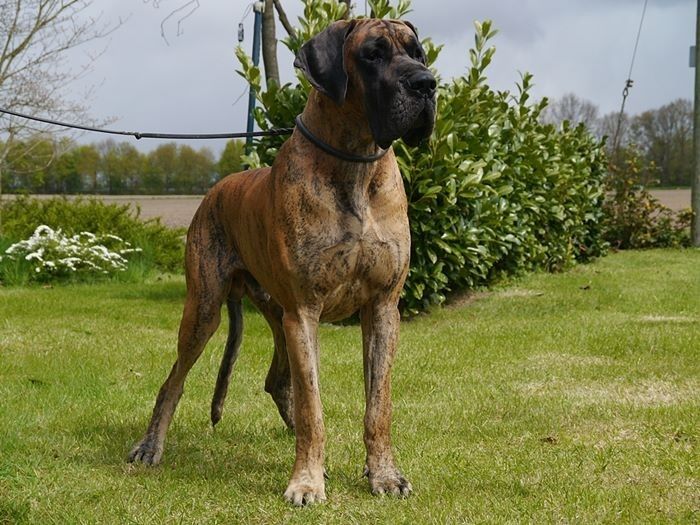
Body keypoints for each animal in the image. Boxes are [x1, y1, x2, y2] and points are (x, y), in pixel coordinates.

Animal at [128, 18, 436, 506]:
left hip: (276, 313)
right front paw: (306, 481)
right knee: (173, 380)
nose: (427, 84)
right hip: (206, 310)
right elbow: (314, 406)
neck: (355, 164)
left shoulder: (383, 309)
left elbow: (378, 406)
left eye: (417, 52)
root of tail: (219, 188)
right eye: (372, 53)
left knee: (277, 380)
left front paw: (384, 475)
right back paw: (150, 446)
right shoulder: (305, 313)